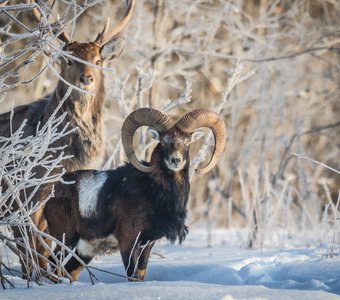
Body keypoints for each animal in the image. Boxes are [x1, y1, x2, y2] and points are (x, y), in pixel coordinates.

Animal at [43, 108, 227, 282]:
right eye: (164, 140)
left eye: (187, 141)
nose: (176, 160)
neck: (155, 194)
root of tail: (51, 194)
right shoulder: (128, 242)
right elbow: (131, 275)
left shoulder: (147, 244)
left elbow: (140, 274)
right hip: (65, 239)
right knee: (53, 265)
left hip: (85, 250)